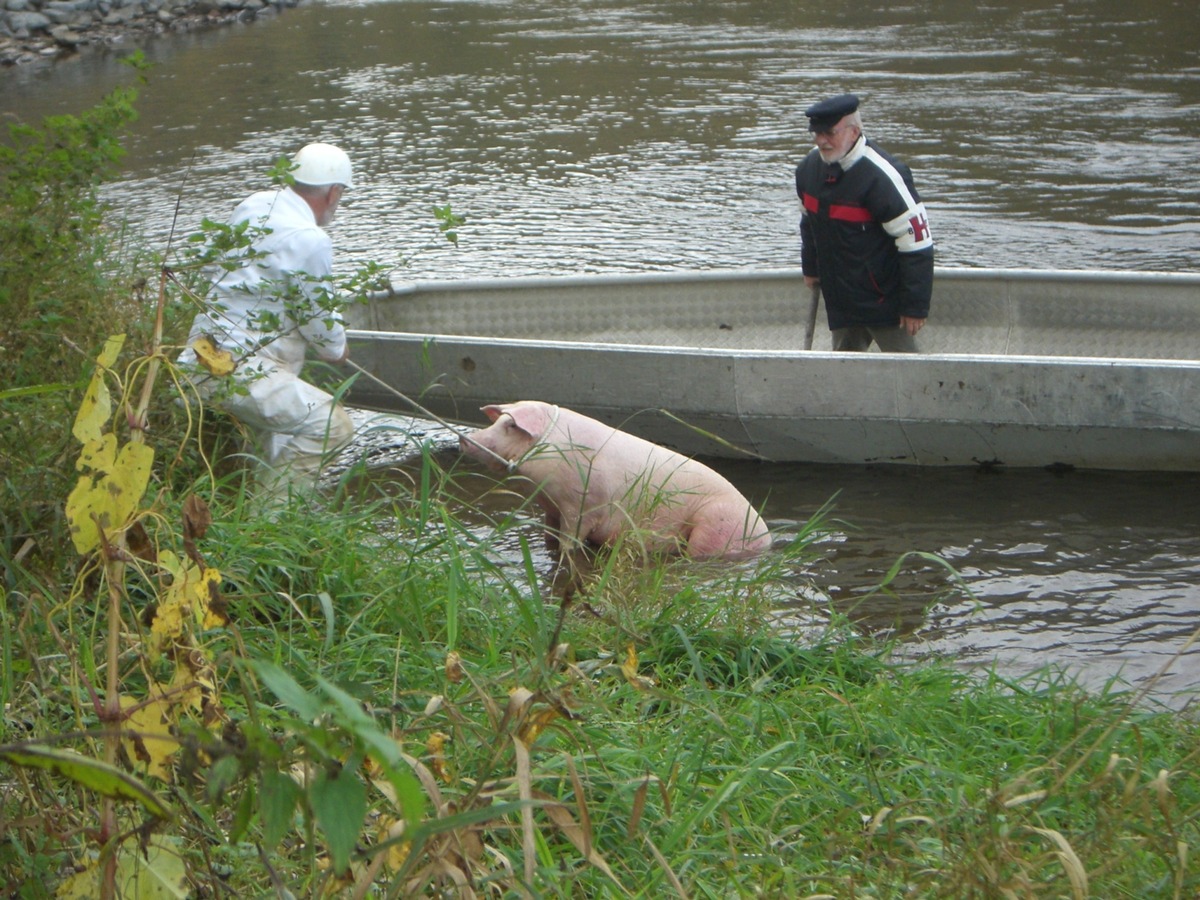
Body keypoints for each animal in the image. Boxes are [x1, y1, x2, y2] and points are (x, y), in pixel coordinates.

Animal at [453, 403, 772, 564]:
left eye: (510, 425)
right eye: (498, 421)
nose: (465, 438)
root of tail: (764, 537)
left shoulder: (581, 507)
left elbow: (571, 545)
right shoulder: (552, 508)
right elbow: (550, 539)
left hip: (715, 527)